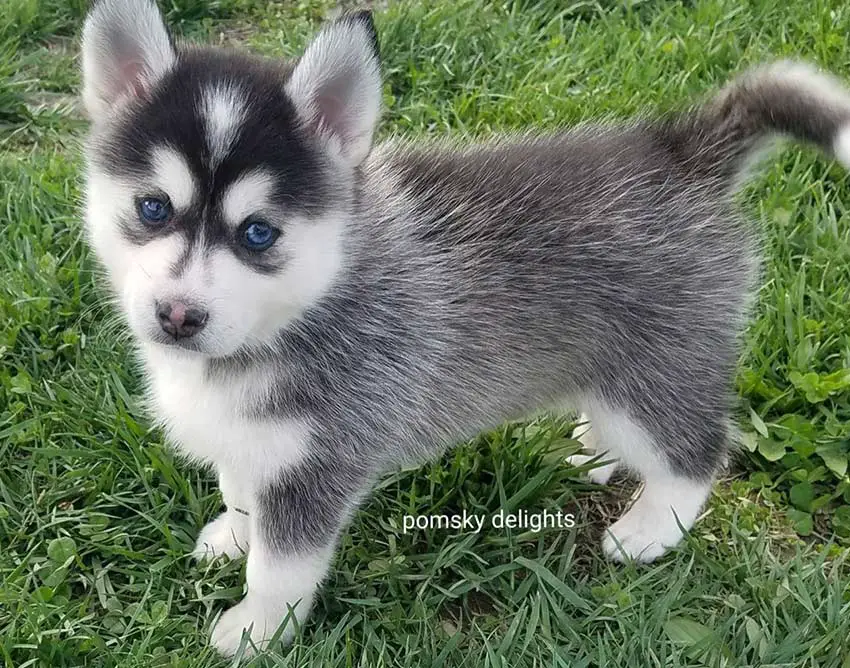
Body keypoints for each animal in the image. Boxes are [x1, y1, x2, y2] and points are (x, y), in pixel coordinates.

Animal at [79, 0, 848, 656]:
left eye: (258, 233)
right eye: (153, 208)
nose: (178, 315)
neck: (304, 308)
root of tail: (682, 154)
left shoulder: (319, 465)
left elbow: (282, 568)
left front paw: (255, 630)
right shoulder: (254, 446)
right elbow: (241, 497)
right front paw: (230, 539)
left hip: (656, 371)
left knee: (698, 452)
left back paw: (650, 530)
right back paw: (593, 454)